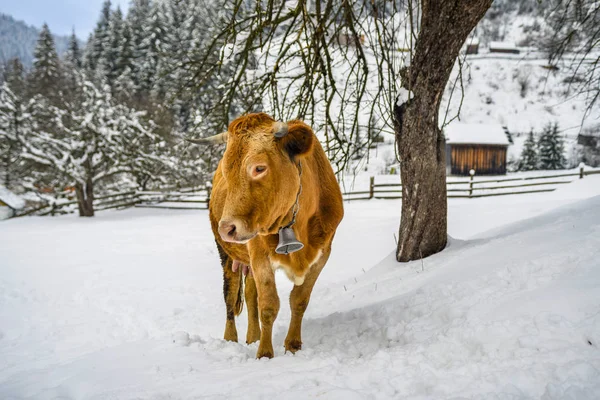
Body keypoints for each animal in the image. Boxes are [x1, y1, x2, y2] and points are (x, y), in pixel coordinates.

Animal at [190, 113, 344, 360]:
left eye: (259, 168)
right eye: (226, 171)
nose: (227, 228)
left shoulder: (322, 254)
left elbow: (299, 300)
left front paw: (292, 345)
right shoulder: (260, 255)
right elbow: (269, 305)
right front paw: (264, 353)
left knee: (250, 294)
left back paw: (253, 336)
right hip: (228, 256)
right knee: (230, 297)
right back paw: (231, 339)